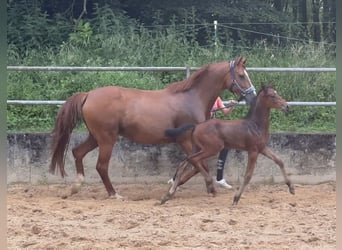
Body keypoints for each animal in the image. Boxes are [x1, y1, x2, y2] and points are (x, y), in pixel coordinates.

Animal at [49, 57, 255, 199]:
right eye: (242, 76)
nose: (252, 96)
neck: (191, 98)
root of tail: (88, 95)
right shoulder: (185, 140)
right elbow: (197, 164)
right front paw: (207, 187)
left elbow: (197, 165)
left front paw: (178, 183)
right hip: (107, 139)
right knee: (101, 166)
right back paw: (114, 194)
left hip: (95, 137)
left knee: (77, 152)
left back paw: (75, 187)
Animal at [162, 85, 294, 204]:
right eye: (272, 96)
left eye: (276, 93)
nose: (287, 106)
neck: (255, 125)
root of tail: (196, 126)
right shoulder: (253, 151)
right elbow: (248, 175)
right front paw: (236, 198)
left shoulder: (262, 148)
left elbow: (279, 161)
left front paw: (291, 188)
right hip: (212, 149)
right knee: (192, 160)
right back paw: (208, 184)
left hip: (197, 148)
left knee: (184, 163)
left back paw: (168, 195)